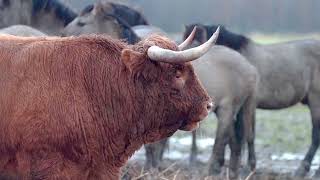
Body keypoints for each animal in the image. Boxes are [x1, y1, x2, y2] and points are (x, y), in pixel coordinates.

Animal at [184, 23, 320, 177]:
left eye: (194, 44)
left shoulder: (250, 103)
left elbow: (247, 135)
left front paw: (248, 167)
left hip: (315, 101)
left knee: (316, 135)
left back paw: (303, 168)